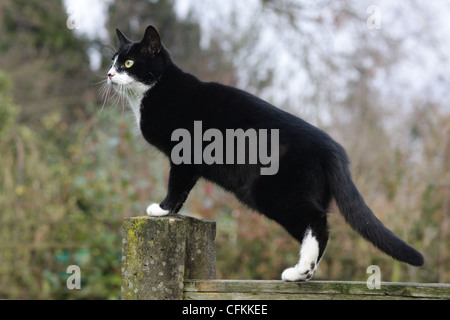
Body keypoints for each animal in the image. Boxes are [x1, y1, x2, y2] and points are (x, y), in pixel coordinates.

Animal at [103, 25, 424, 280]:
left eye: (128, 62)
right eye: (113, 61)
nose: (108, 74)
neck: (153, 92)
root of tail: (333, 149)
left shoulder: (184, 155)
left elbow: (176, 186)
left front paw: (162, 209)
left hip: (272, 191)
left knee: (318, 222)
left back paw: (299, 271)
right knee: (318, 226)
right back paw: (304, 273)